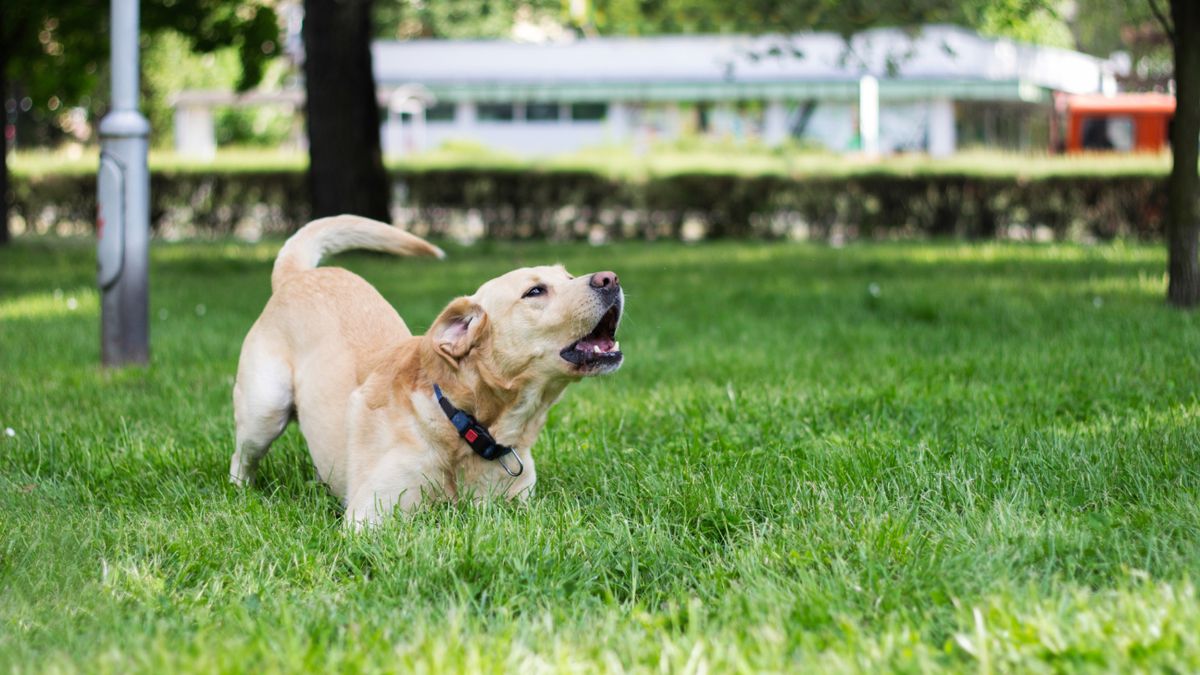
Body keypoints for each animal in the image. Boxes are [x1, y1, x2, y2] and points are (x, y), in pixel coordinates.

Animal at [235, 212, 628, 523]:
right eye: (535, 292)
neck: (463, 421)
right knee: (241, 460)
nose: (610, 278)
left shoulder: (523, 506)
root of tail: (296, 276)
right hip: (265, 410)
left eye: (569, 276)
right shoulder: (371, 517)